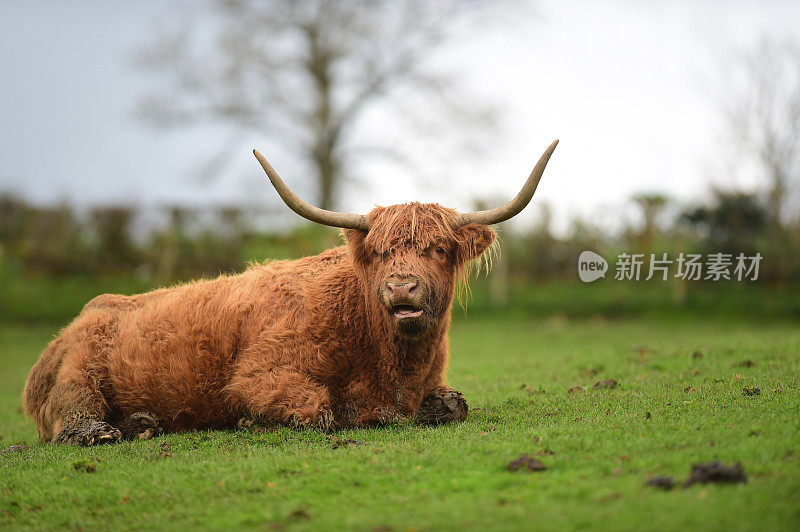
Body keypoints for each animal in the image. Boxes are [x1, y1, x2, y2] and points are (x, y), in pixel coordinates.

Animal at [20, 139, 556, 442]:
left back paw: (144, 423)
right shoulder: (259, 375)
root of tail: (84, 315)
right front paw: (251, 422)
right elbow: (319, 411)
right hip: (77, 373)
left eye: (440, 249)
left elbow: (453, 406)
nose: (402, 287)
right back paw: (104, 432)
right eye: (380, 252)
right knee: (74, 412)